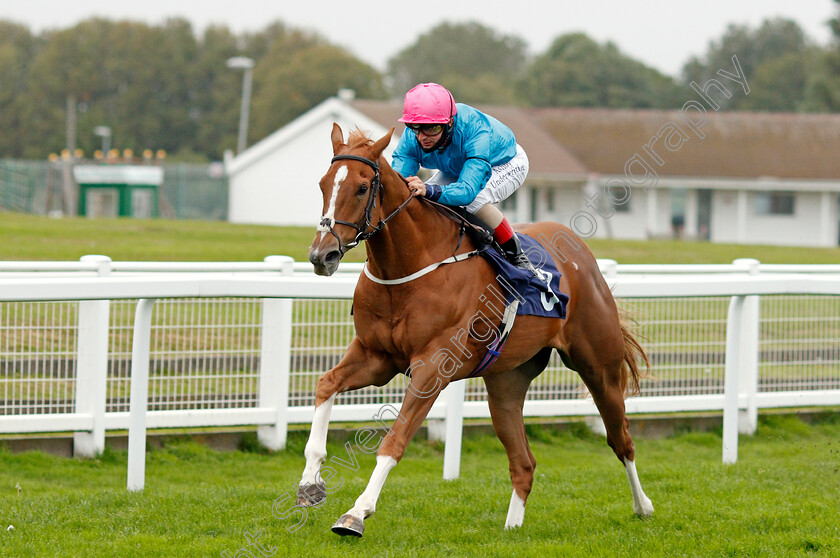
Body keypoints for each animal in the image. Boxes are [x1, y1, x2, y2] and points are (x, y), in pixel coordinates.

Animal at [302, 123, 656, 540]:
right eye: (323, 184)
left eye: (361, 188)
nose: (322, 256)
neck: (409, 268)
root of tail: (581, 252)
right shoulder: (376, 357)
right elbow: (326, 384)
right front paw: (310, 483)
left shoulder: (433, 369)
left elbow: (395, 439)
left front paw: (356, 513)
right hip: (506, 383)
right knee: (524, 462)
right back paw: (512, 526)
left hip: (599, 367)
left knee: (621, 440)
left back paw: (643, 506)